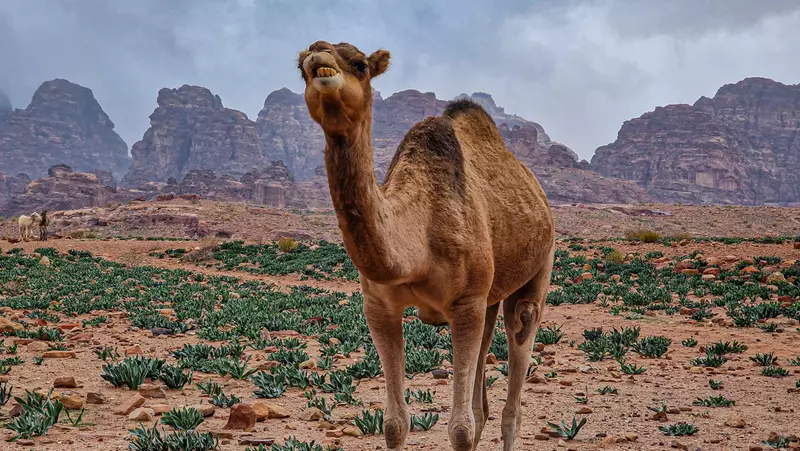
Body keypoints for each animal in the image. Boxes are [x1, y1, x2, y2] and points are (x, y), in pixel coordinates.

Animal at [297, 41, 555, 450]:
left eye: (360, 64)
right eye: (300, 68)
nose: (318, 57)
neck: (418, 240)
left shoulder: (465, 303)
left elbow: (460, 429)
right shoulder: (379, 306)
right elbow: (394, 424)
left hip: (539, 267)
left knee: (517, 356)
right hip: (490, 296)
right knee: (483, 389)